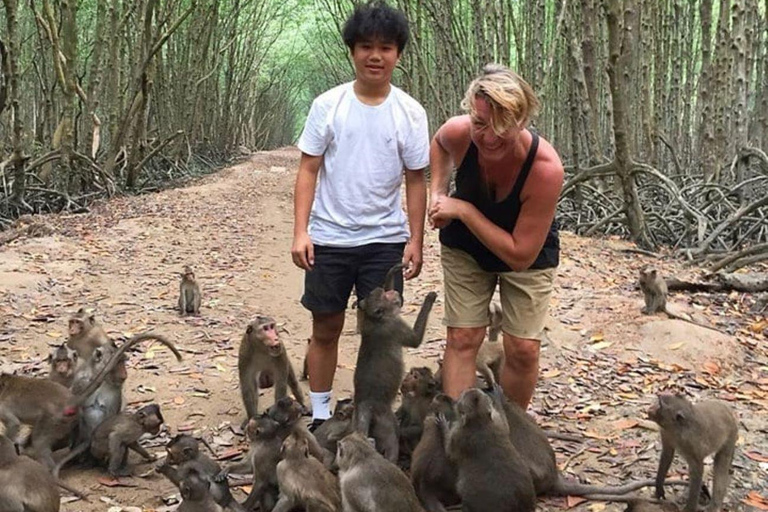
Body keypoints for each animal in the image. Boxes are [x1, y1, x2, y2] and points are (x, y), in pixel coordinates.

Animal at [0, 332, 181, 472]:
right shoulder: (80, 382)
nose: (124, 373)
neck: (101, 380)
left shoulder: (115, 392)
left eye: (124, 362)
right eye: (119, 363)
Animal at [352, 264, 436, 464]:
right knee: (392, 440)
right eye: (384, 297)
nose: (390, 293)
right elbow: (415, 340)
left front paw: (394, 270)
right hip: (384, 420)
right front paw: (429, 299)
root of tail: (365, 404)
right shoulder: (395, 326)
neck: (375, 319)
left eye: (380, 292)